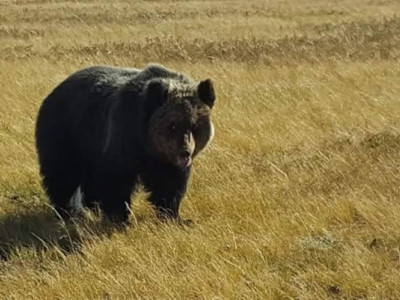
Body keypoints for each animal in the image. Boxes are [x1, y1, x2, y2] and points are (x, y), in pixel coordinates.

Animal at [35, 63, 216, 224]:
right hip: (67, 134)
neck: (147, 145)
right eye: (172, 125)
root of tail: (57, 88)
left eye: (195, 126)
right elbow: (115, 179)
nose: (185, 152)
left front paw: (175, 216)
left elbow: (170, 184)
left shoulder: (166, 161)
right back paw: (65, 211)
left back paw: (90, 207)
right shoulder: (123, 137)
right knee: (62, 173)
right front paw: (120, 218)